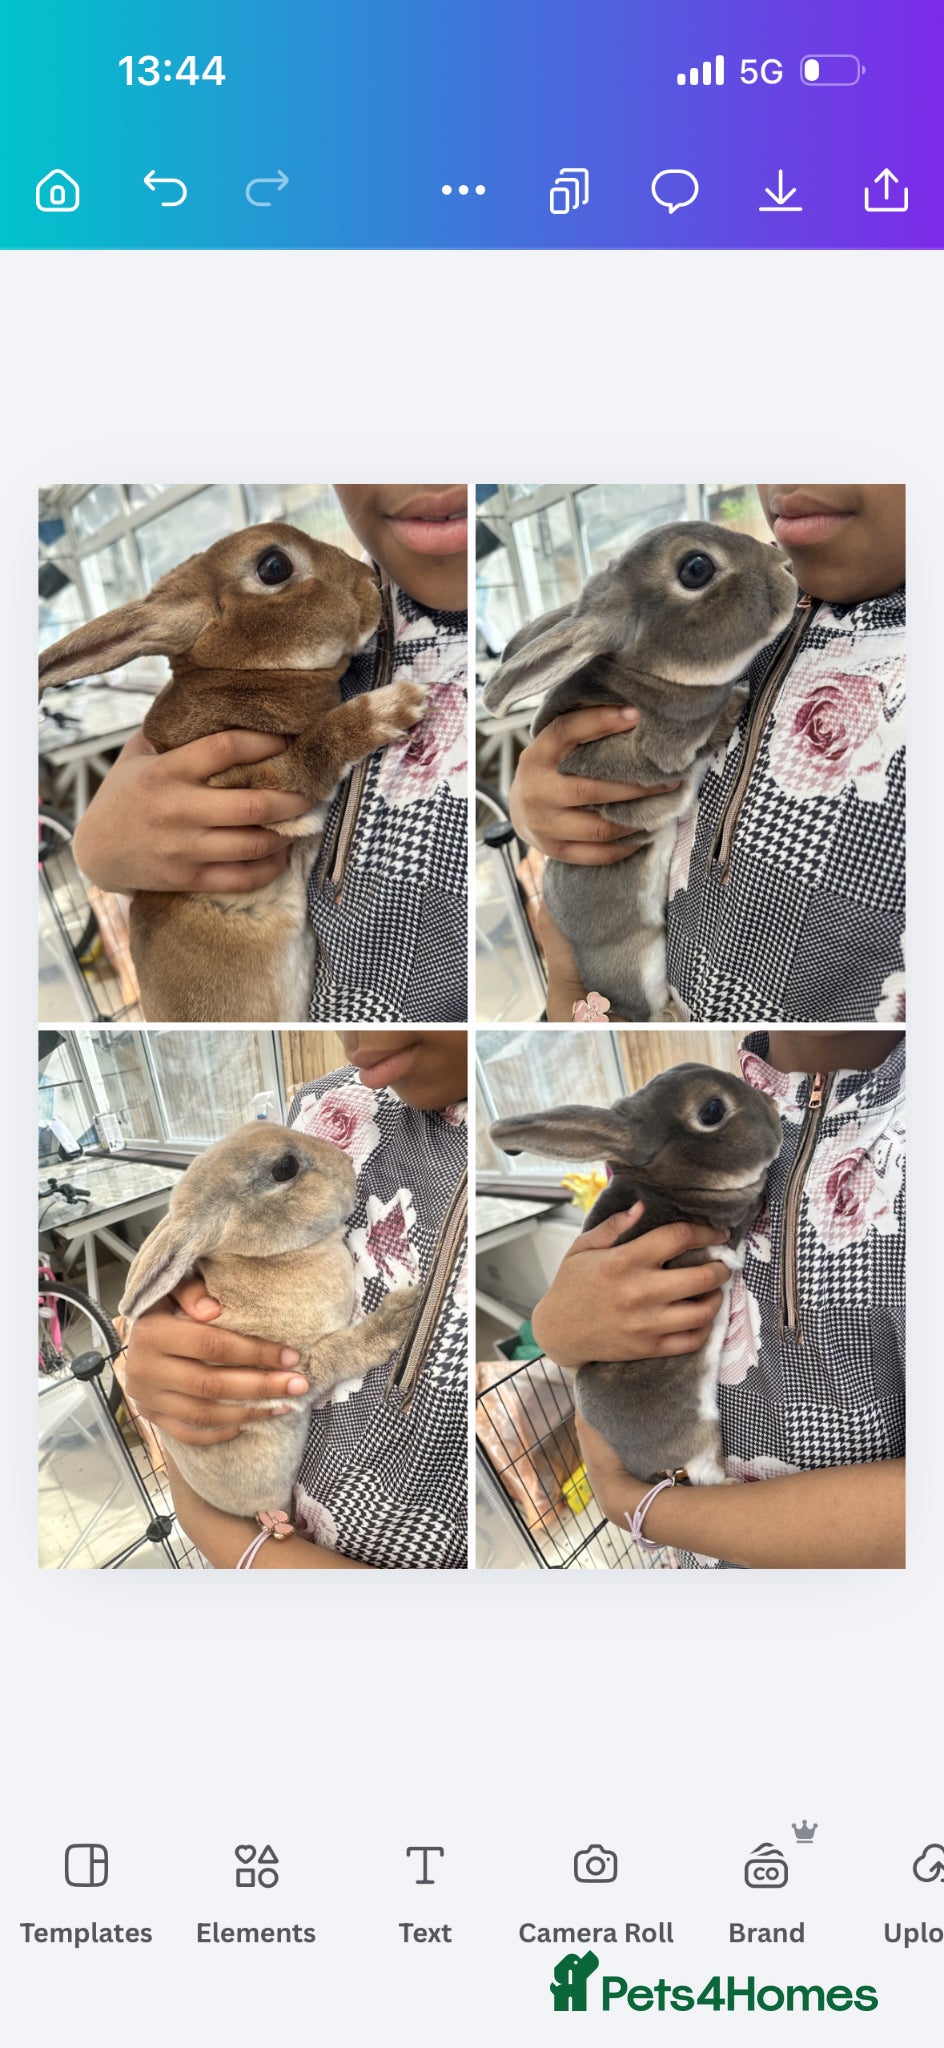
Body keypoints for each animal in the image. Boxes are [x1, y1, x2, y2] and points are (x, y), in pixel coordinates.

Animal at [38, 523, 428, 1022]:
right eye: (274, 566)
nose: (370, 582)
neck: (237, 675)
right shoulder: (254, 787)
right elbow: (311, 753)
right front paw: (394, 706)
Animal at [482, 522, 798, 1018]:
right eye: (696, 569)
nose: (786, 566)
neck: (643, 676)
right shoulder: (652, 758)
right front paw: (736, 703)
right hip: (641, 969)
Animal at [490, 1063, 782, 1485]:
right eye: (712, 1110)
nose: (774, 1108)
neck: (666, 1188)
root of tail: (644, 1467)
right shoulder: (722, 1234)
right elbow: (738, 1233)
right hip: (701, 1435)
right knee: (705, 1472)